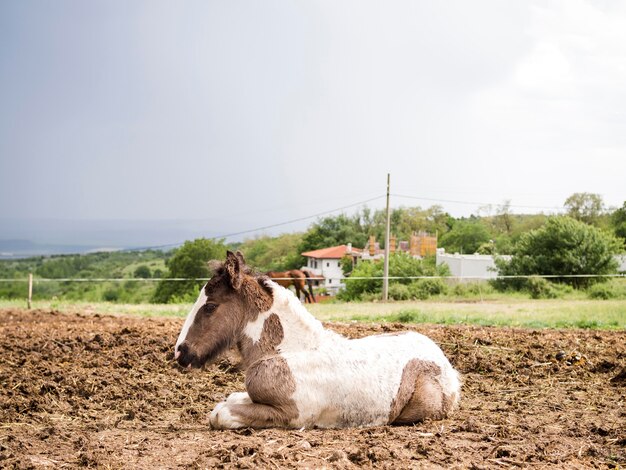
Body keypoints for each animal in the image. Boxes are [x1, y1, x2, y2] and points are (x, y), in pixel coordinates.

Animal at [176, 253, 458, 430]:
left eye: (210, 306)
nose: (181, 353)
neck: (286, 351)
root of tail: (445, 362)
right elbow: (229, 399)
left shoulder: (292, 414)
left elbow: (220, 414)